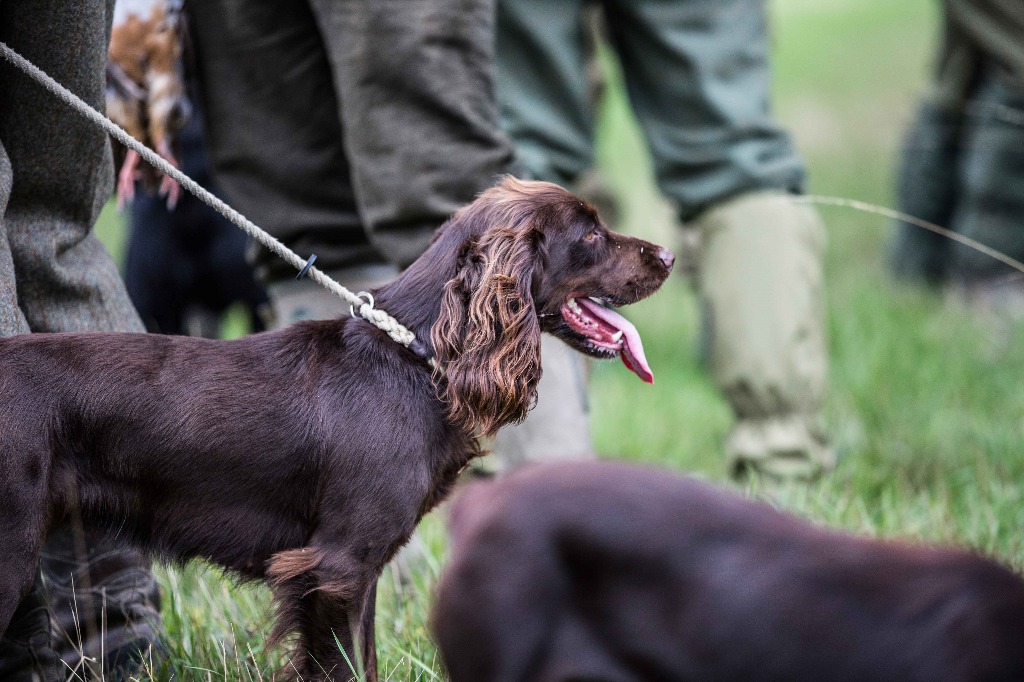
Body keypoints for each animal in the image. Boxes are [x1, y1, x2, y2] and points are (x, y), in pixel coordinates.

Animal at [0, 178, 671, 675]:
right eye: (590, 233)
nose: (666, 256)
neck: (416, 358)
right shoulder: (337, 566)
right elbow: (344, 668)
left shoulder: (358, 571)